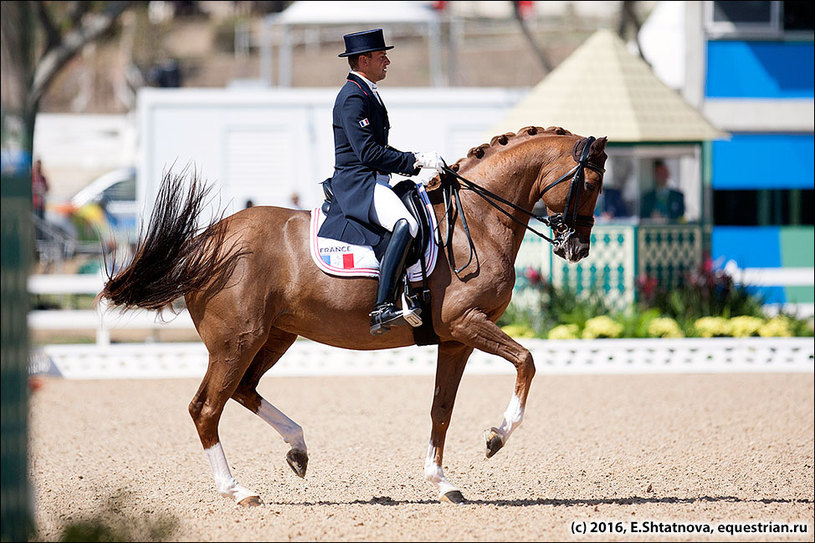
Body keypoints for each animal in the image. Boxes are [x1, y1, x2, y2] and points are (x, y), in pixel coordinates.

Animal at [99, 126, 604, 506]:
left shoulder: (455, 339)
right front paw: (496, 437)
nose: (577, 249)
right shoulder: (466, 322)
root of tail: (204, 243)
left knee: (243, 390)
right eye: (591, 184)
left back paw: (298, 449)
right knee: (206, 407)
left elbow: (441, 408)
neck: (476, 221)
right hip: (236, 341)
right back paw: (238, 490)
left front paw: (442, 482)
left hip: (274, 336)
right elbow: (527, 361)